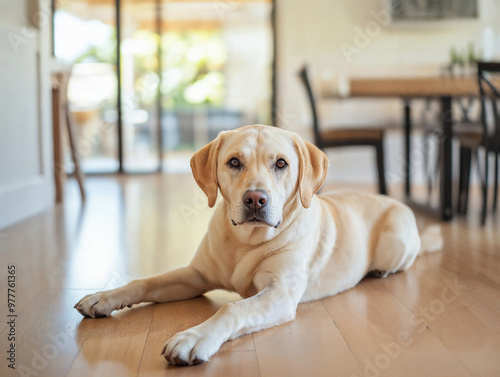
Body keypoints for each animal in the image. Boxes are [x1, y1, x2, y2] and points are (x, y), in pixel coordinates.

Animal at [74, 123, 442, 364]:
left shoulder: (279, 293)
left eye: (281, 163)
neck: (245, 242)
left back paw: (380, 271)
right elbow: (145, 282)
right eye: (234, 162)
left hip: (396, 242)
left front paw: (194, 338)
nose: (255, 199)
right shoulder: (194, 275)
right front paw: (103, 298)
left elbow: (231, 308)